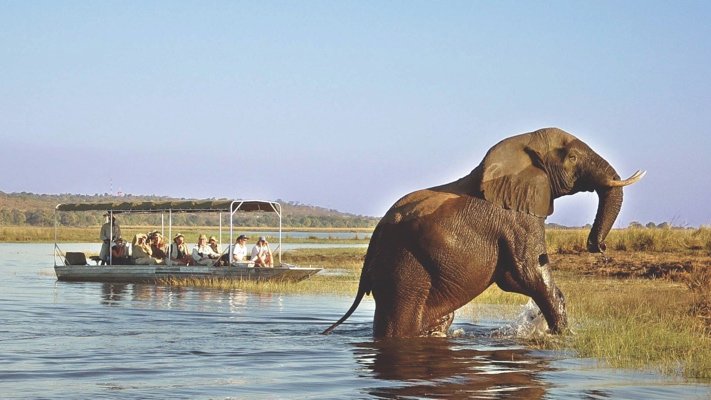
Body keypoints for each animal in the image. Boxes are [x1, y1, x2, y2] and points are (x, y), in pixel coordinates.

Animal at [326, 126, 648, 338]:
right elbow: (529, 274)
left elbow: (516, 277)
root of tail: (374, 240)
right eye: (571, 158)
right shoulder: (517, 218)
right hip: (403, 268)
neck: (522, 145)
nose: (598, 246)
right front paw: (563, 337)